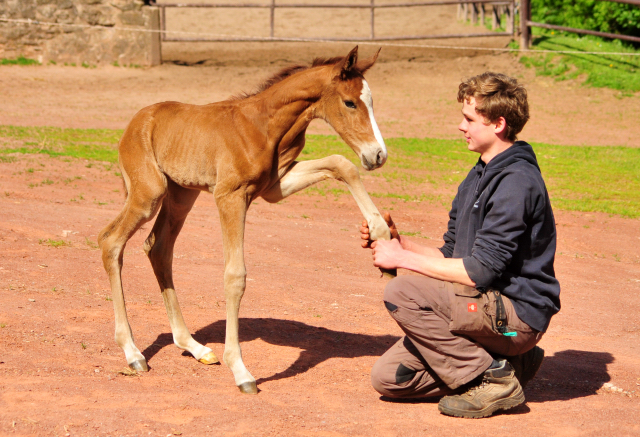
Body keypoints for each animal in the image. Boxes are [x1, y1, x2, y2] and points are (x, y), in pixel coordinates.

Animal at [99, 46, 390, 394]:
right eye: (350, 102)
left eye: (371, 101)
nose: (378, 155)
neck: (264, 126)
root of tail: (135, 122)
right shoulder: (230, 196)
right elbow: (235, 276)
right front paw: (240, 370)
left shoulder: (275, 186)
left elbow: (341, 164)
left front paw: (381, 234)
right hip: (148, 194)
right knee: (111, 241)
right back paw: (132, 353)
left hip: (182, 195)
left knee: (158, 248)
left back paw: (193, 347)